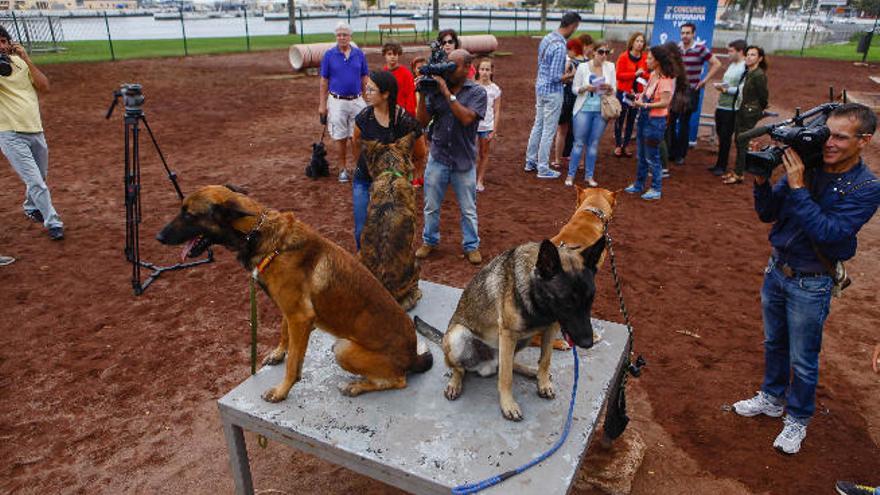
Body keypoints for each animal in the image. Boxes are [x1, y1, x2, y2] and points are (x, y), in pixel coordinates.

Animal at [160, 186, 434, 404]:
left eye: (189, 214)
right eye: (182, 211)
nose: (158, 236)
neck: (259, 234)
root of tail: (412, 356)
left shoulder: (300, 317)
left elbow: (294, 364)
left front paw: (281, 391)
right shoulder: (289, 310)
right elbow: (284, 333)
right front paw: (279, 352)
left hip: (343, 348)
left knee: (399, 380)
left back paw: (356, 386)